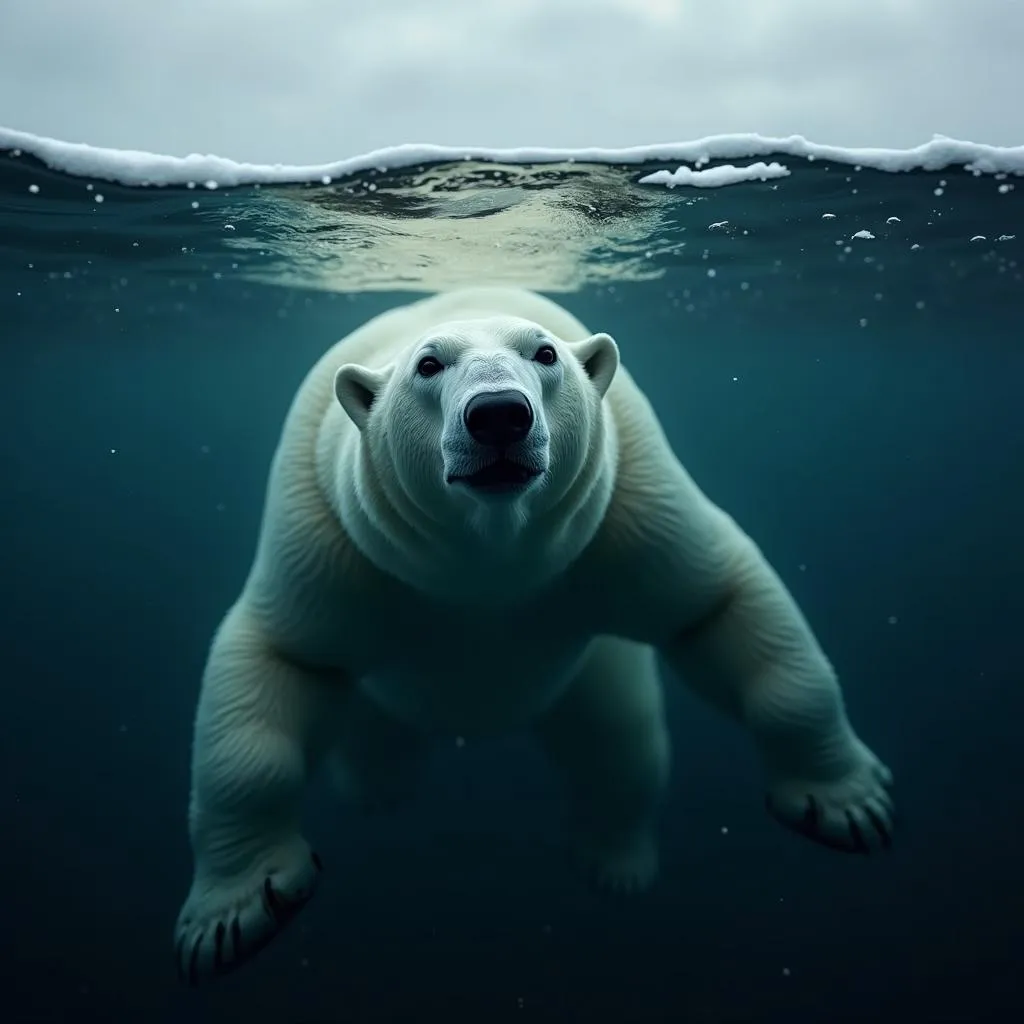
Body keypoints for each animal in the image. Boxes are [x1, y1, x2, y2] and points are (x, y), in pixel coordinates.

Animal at [176, 286, 897, 983]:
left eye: (545, 354)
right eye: (427, 365)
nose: (499, 414)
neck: (489, 564)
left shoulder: (624, 508)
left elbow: (719, 602)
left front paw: (847, 804)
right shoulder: (332, 537)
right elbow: (276, 665)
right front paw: (232, 915)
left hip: (597, 671)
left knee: (619, 743)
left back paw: (615, 862)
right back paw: (380, 789)